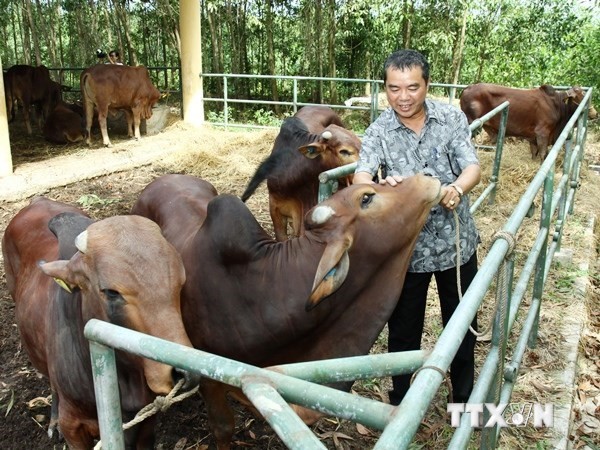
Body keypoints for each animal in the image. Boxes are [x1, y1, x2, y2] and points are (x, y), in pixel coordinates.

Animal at [460, 83, 596, 161]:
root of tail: (467, 88)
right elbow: (543, 154)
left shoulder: (533, 138)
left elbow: (534, 154)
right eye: (582, 93)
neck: (557, 105)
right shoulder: (542, 133)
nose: (595, 113)